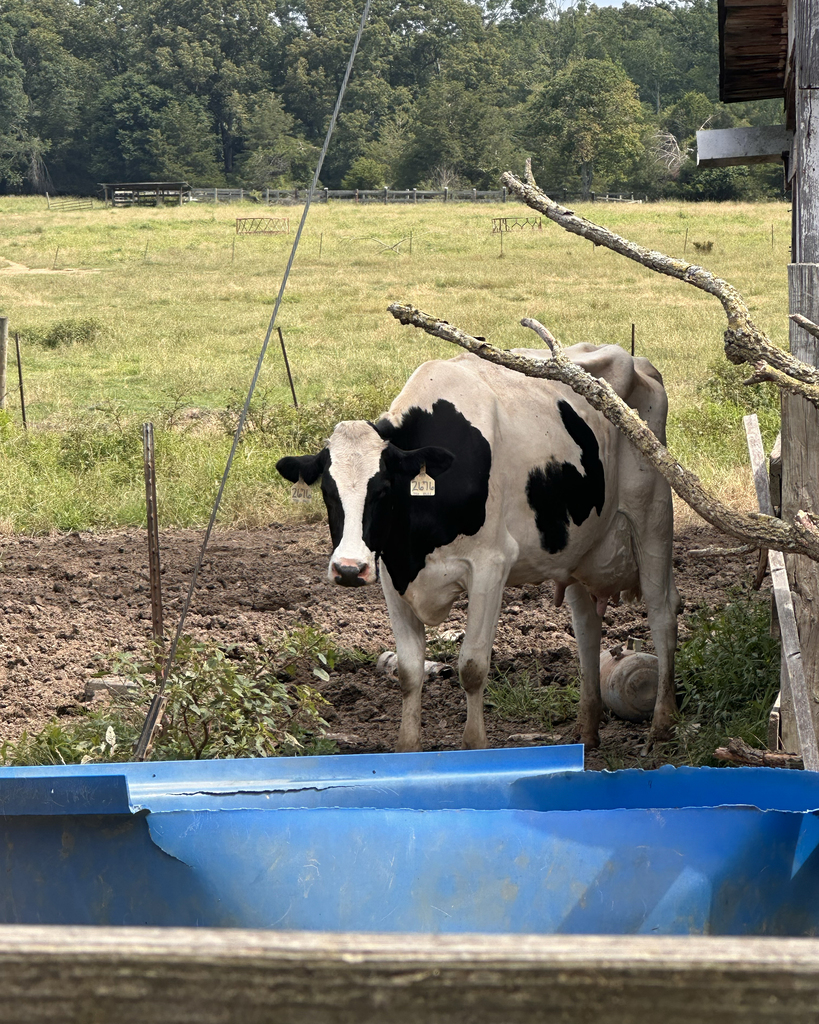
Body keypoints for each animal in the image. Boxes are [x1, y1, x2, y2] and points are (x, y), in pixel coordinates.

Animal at [276, 343, 680, 752]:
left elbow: (471, 667)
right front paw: (407, 748)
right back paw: (586, 729)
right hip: (580, 546)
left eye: (384, 489)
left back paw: (661, 727)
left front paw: (475, 745)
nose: (348, 569)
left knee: (662, 612)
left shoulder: (491, 565)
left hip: (653, 516)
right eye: (328, 492)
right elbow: (409, 670)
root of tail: (637, 361)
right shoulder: (393, 571)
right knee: (586, 628)